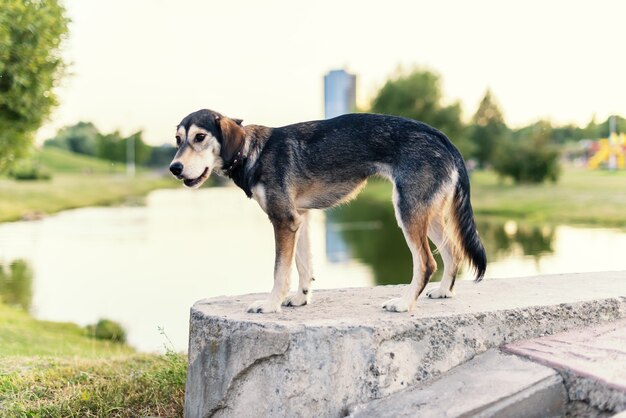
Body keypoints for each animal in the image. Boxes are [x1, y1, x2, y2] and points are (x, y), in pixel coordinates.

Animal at [168, 109, 486, 312]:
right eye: (178, 140)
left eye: (199, 137)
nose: (174, 168)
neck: (251, 151)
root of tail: (440, 136)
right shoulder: (299, 218)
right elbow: (303, 266)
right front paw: (300, 299)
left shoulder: (283, 220)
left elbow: (279, 272)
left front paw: (270, 305)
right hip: (426, 214)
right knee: (453, 252)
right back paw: (443, 291)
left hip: (407, 211)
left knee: (426, 263)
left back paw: (404, 304)